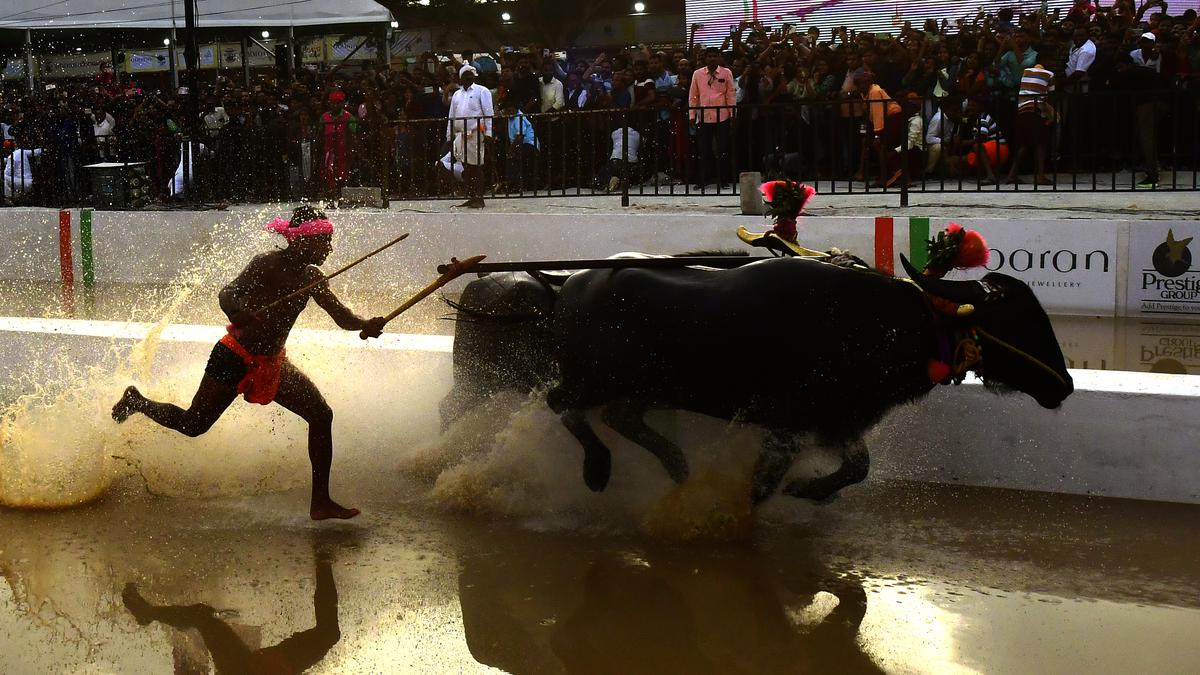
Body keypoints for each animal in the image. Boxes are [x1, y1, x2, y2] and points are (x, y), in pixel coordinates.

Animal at [441, 254, 1070, 502]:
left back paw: (676, 465)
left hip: (643, 386)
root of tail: (564, 285)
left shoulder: (839, 418)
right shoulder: (790, 421)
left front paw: (811, 492)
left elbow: (856, 468)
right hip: (584, 378)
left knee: (620, 417)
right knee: (559, 404)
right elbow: (765, 484)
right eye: (1017, 318)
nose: (1062, 385)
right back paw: (598, 471)